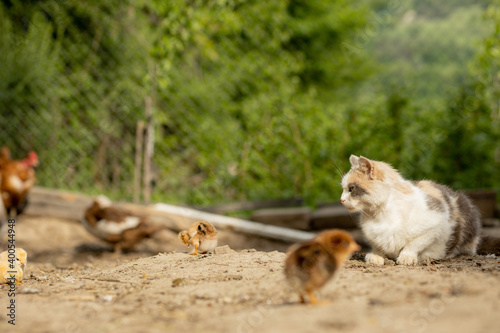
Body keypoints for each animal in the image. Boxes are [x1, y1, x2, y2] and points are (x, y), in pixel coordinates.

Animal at [340, 154, 484, 266]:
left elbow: (414, 244)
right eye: (344, 189)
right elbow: (378, 246)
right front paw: (375, 256)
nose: (341, 199)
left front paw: (407, 257)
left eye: (351, 189)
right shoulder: (374, 236)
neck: (381, 214)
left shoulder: (434, 224)